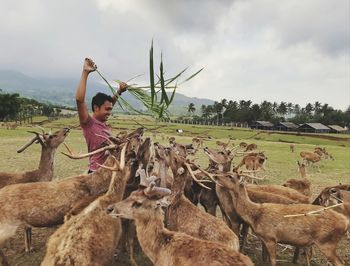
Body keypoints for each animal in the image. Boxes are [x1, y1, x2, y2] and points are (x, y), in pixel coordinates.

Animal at [215, 172, 348, 266]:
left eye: (230, 176)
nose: (216, 176)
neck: (255, 215)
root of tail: (346, 223)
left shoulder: (271, 237)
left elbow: (273, 261)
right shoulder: (264, 238)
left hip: (327, 242)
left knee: (340, 262)